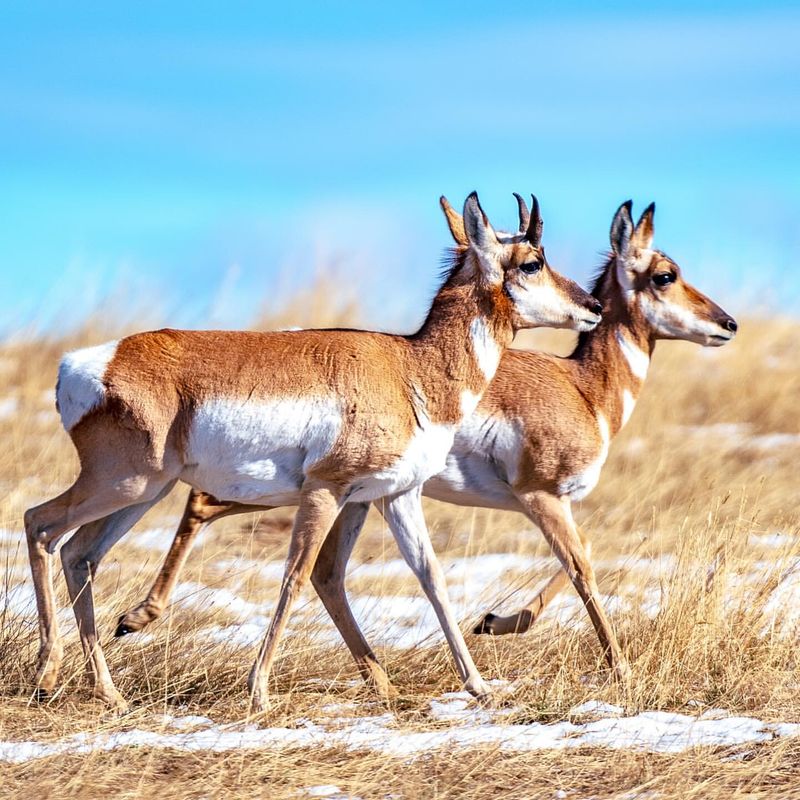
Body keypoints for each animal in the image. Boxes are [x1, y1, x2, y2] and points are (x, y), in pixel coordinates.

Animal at [23, 194, 600, 712]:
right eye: (533, 261)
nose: (593, 307)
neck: (412, 369)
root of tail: (83, 363)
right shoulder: (326, 490)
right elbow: (296, 575)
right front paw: (258, 691)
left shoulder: (394, 496)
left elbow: (431, 579)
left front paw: (480, 687)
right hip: (125, 483)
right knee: (41, 525)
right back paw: (48, 677)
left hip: (144, 493)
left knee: (80, 555)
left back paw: (109, 693)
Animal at [114, 197, 736, 684]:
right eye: (665, 274)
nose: (728, 323)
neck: (583, 388)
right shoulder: (540, 496)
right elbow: (582, 566)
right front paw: (618, 667)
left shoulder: (545, 502)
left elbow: (582, 559)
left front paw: (494, 622)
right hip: (300, 488)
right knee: (207, 504)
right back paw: (138, 616)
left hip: (340, 495)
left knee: (288, 551)